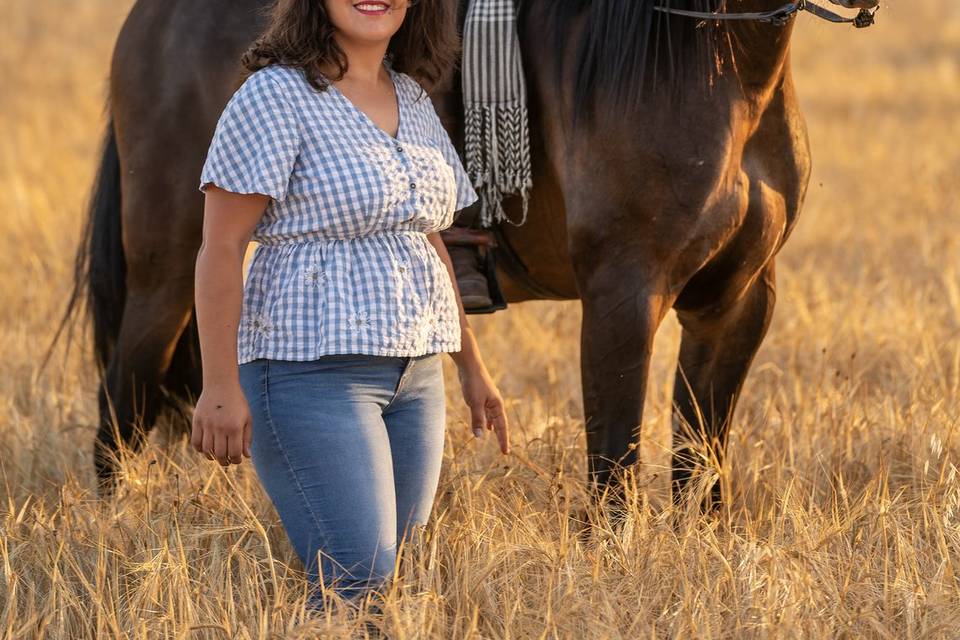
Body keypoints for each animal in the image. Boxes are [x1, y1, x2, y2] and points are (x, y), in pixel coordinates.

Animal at [50, 0, 876, 504]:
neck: (710, 56)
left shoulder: (735, 302)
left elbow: (701, 461)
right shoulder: (624, 293)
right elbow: (613, 461)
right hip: (168, 269)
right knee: (120, 401)